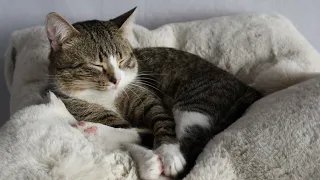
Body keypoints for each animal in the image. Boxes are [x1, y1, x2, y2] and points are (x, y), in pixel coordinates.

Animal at [44, 7, 260, 179]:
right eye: (96, 65)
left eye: (122, 60)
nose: (117, 79)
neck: (106, 97)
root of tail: (249, 89)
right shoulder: (77, 106)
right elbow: (133, 134)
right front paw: (147, 161)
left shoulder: (146, 96)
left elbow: (160, 122)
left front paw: (169, 154)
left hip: (196, 102)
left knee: (189, 144)